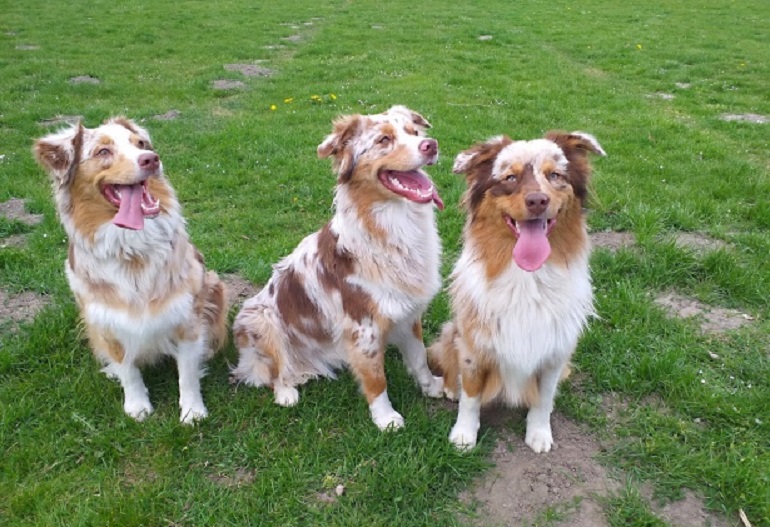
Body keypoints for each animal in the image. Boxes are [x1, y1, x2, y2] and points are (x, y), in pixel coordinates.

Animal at [33, 117, 225, 422]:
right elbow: (128, 369)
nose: (151, 159)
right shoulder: (107, 320)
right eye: (103, 152)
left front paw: (193, 412)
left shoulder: (187, 316)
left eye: (141, 144)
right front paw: (137, 406)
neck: (132, 251)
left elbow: (187, 373)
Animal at [231, 105, 440, 432]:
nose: (431, 145)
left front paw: (431, 387)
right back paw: (286, 392)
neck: (394, 226)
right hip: (259, 317)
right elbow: (376, 379)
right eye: (384, 140)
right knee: (271, 371)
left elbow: (419, 359)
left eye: (415, 132)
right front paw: (386, 419)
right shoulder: (363, 327)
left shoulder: (407, 313)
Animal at [428, 130, 604, 452]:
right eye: (510, 177)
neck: (527, 278)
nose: (538, 200)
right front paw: (463, 435)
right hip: (452, 332)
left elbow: (544, 400)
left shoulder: (555, 352)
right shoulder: (473, 346)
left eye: (555, 175)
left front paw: (539, 433)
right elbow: (471, 397)